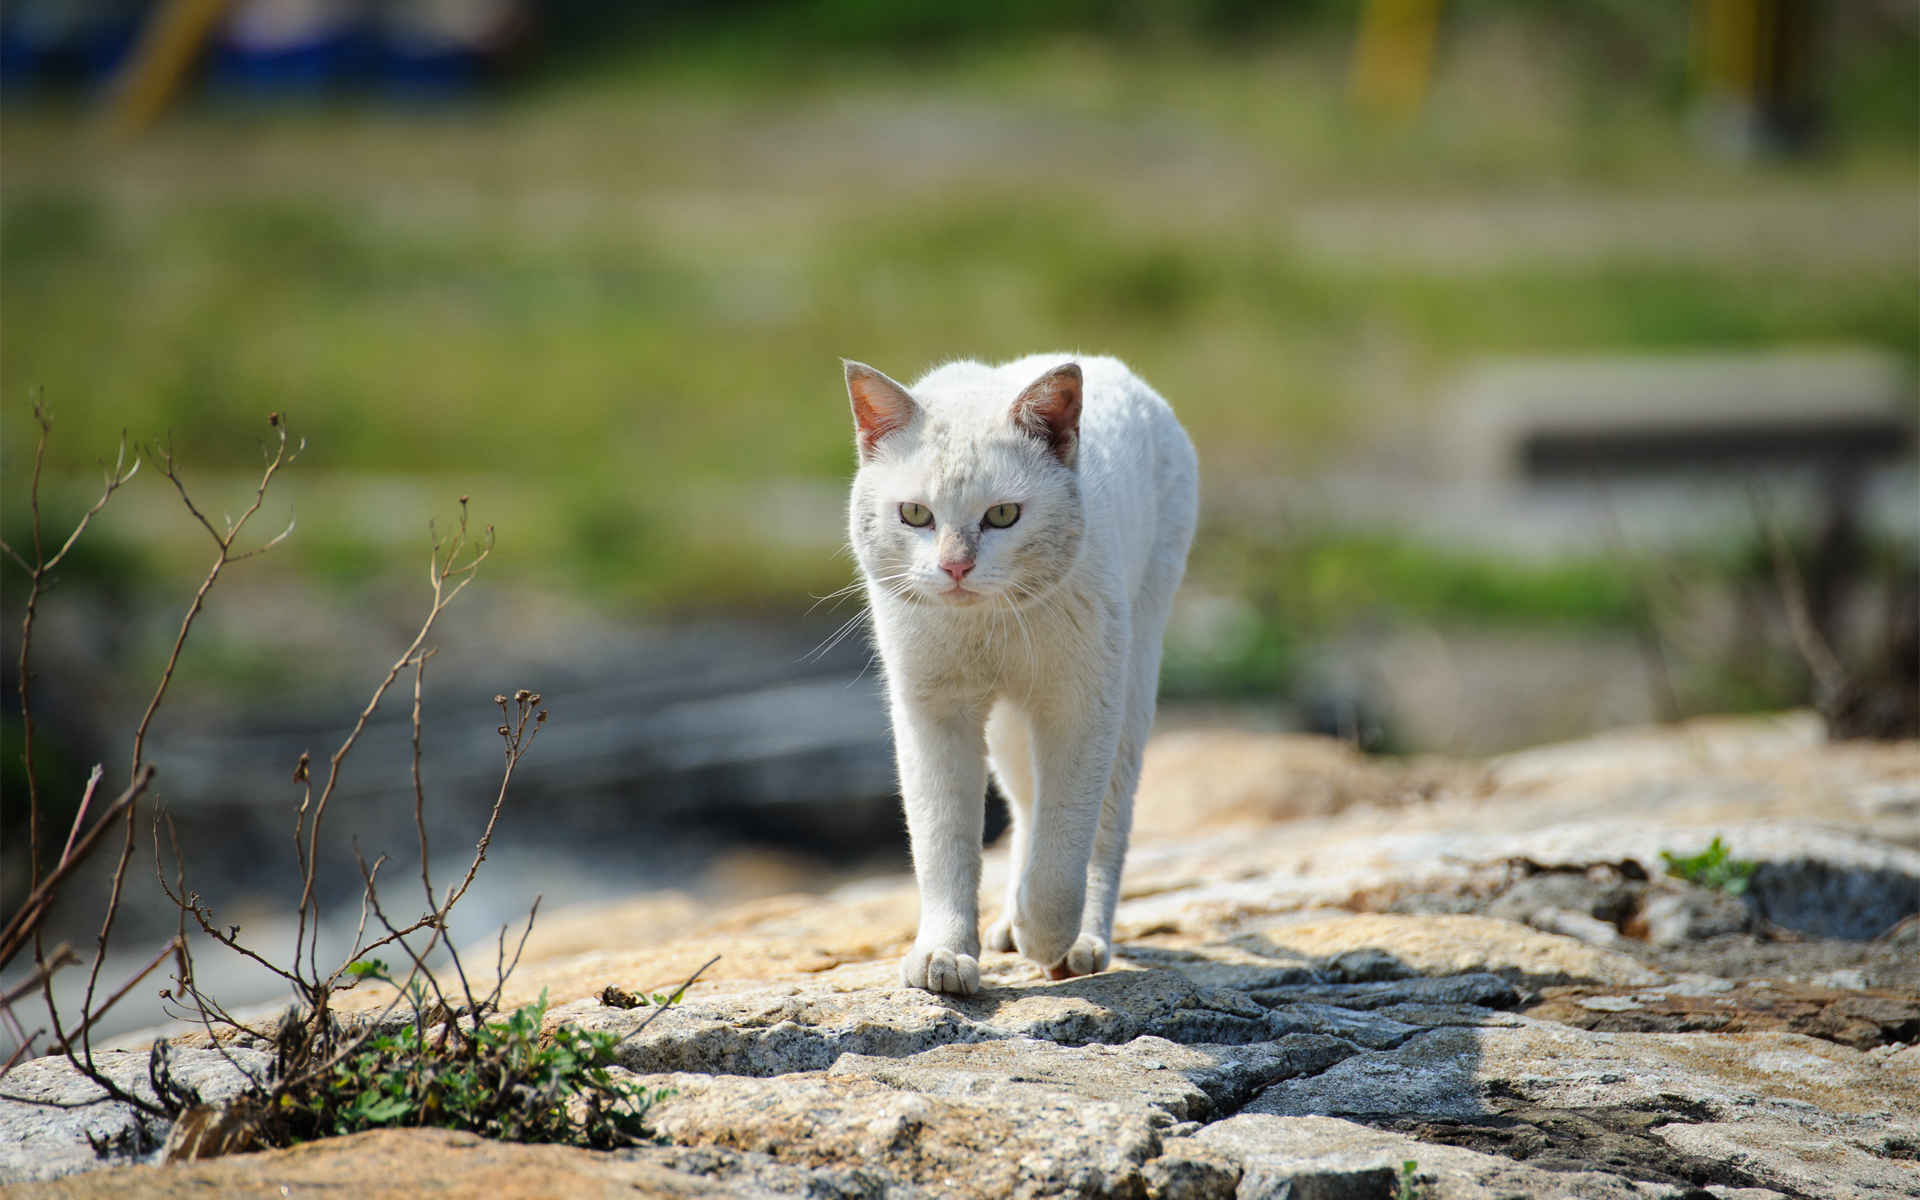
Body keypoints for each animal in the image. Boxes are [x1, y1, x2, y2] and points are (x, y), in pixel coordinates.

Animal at [844, 353, 1190, 990]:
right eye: (915, 514)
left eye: (1003, 515)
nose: (955, 567)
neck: (988, 626)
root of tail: (1113, 365)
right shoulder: (933, 713)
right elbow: (943, 840)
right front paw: (944, 956)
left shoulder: (1082, 705)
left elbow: (1067, 835)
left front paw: (1048, 936)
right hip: (1008, 729)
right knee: (1027, 808)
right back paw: (1008, 925)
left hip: (1133, 679)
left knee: (1105, 823)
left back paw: (1080, 943)